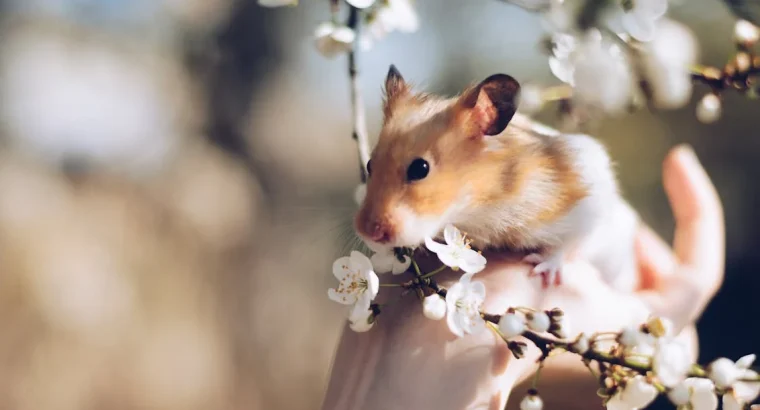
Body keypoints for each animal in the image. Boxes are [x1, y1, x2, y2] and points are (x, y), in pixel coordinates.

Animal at [354, 65, 639, 290]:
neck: (480, 204)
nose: (368, 233)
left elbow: (569, 243)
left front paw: (541, 270)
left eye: (420, 169)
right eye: (369, 164)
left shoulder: (588, 198)